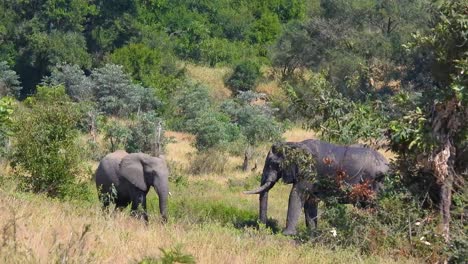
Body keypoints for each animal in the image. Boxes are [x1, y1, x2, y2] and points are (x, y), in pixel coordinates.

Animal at [243, 139, 390, 236]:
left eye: (274, 164)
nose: (262, 227)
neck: (294, 144)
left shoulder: (308, 170)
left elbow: (296, 194)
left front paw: (287, 234)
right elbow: (310, 202)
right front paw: (313, 234)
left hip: (375, 183)